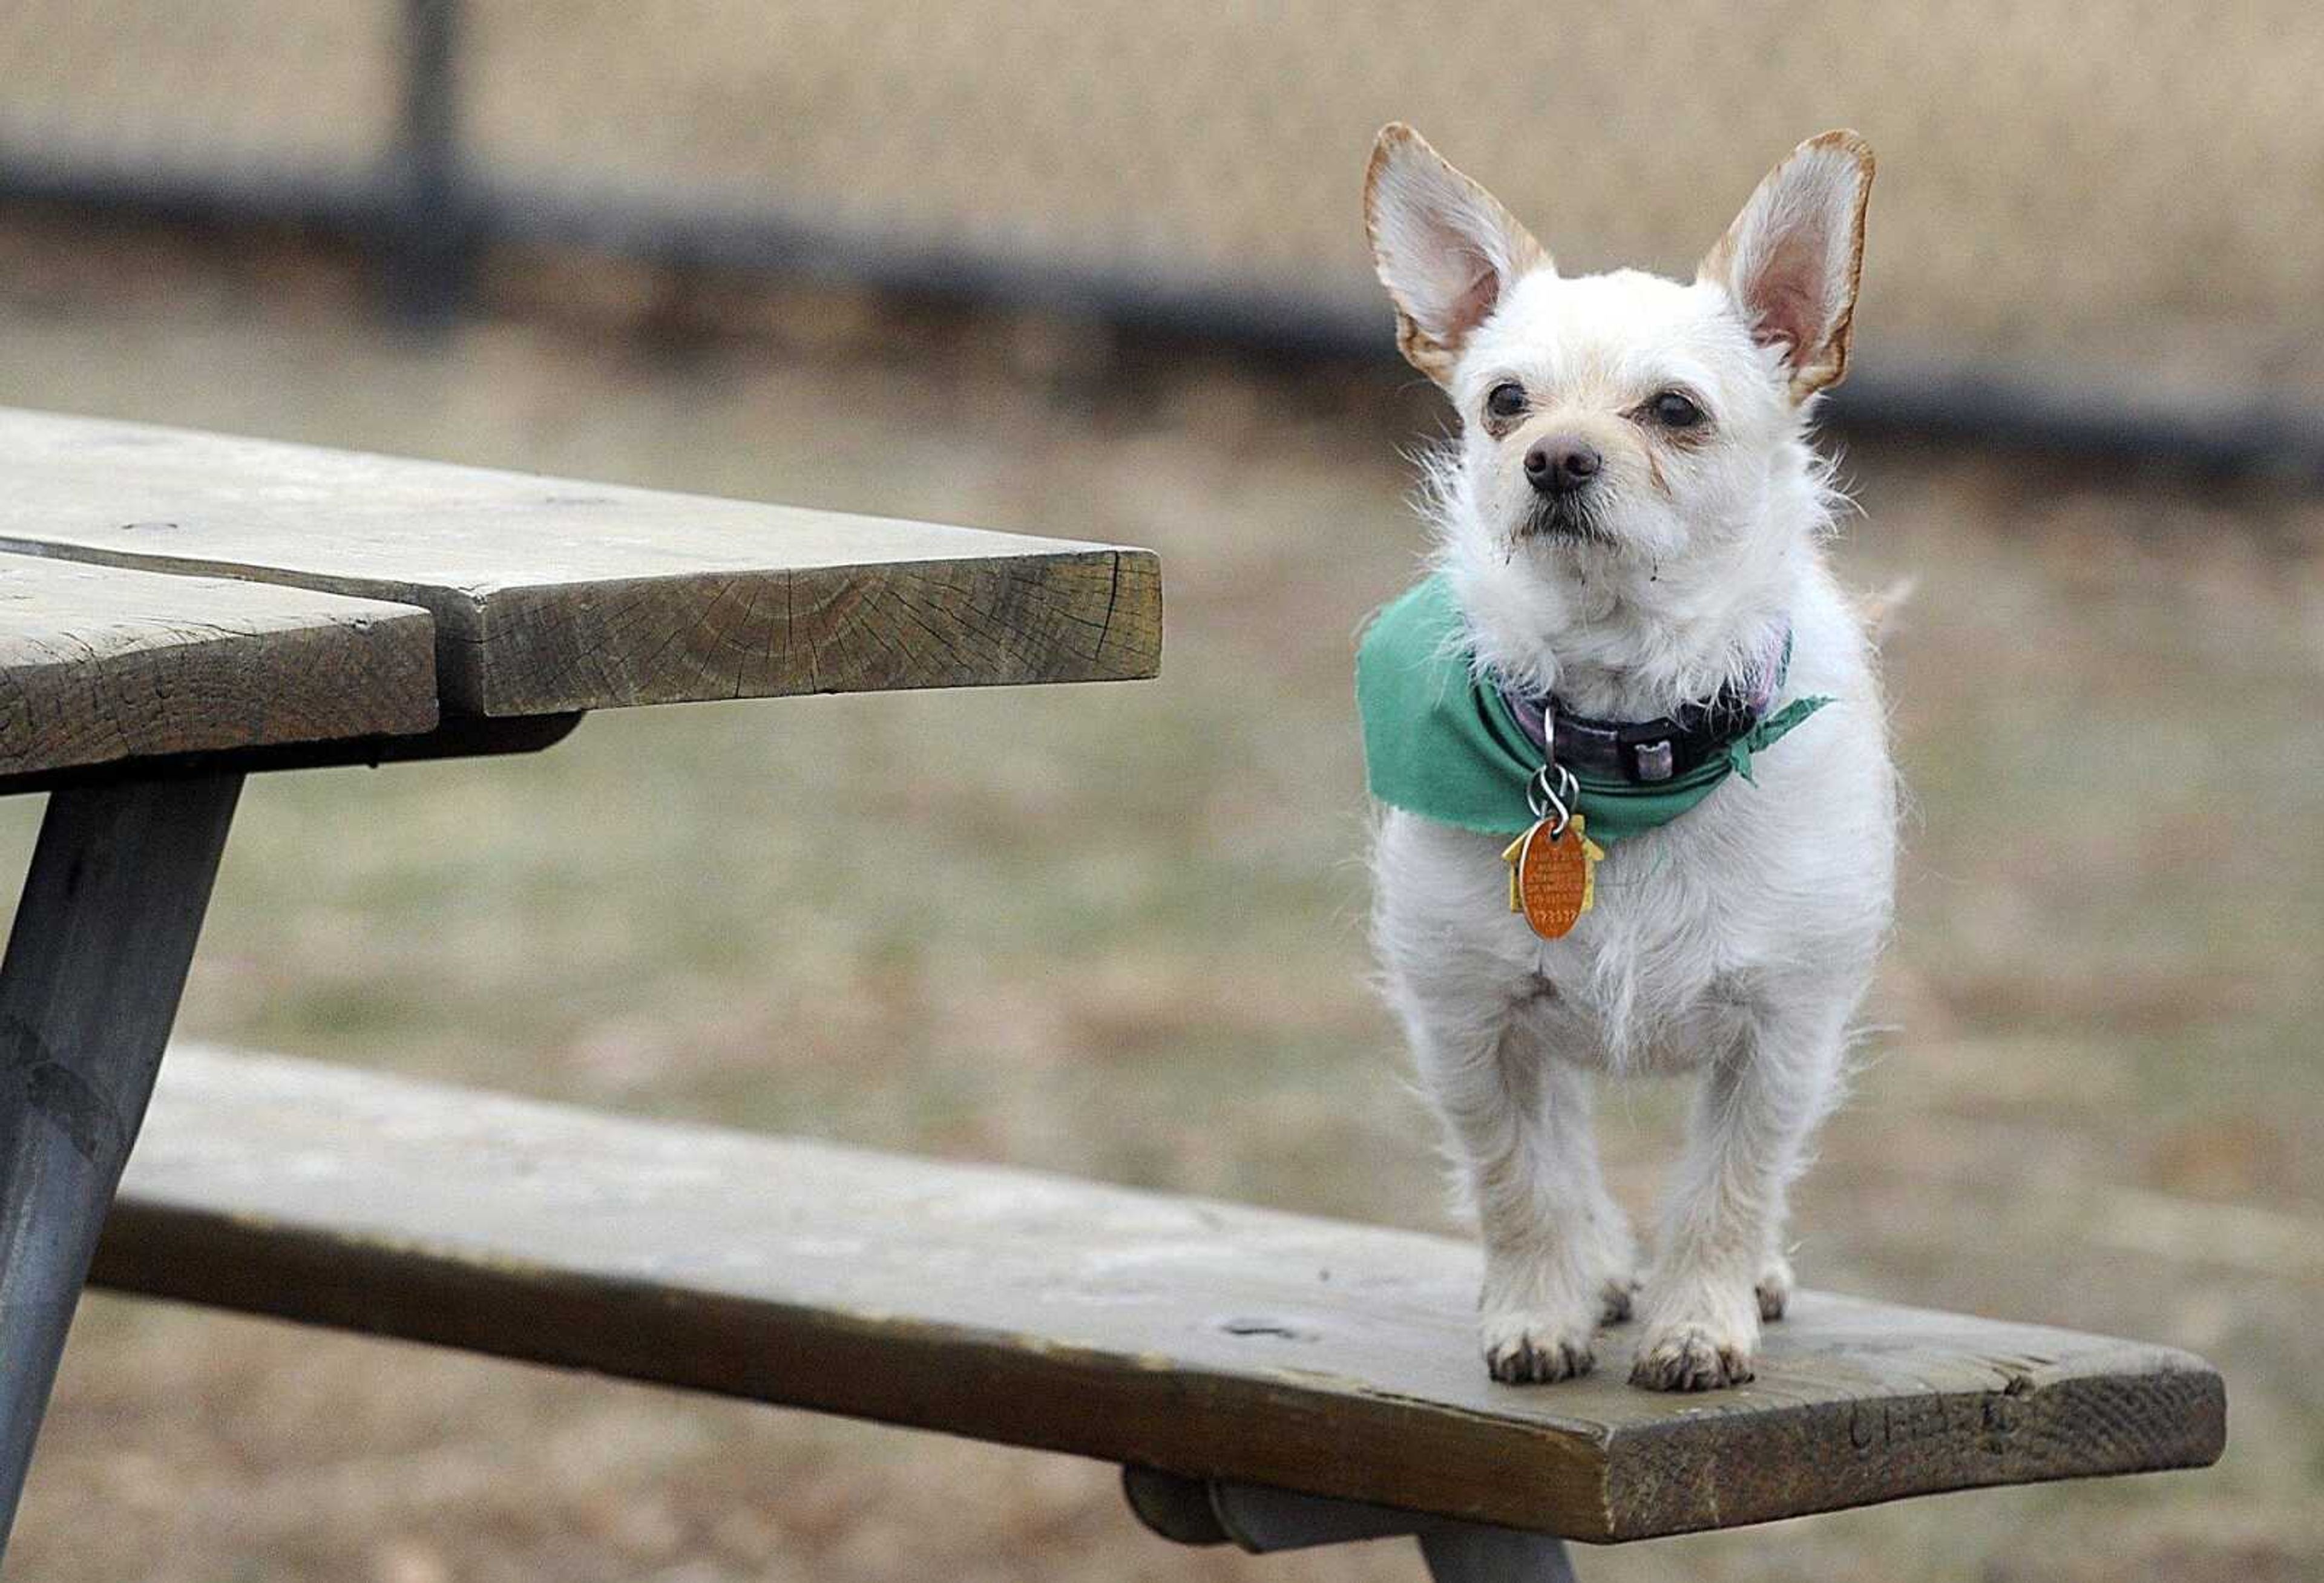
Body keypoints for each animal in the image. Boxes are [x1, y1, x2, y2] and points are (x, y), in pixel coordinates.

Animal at [1357, 126, 1887, 1385]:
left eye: (1675, 411)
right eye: (1504, 403)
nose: (1554, 459)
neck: (1619, 746)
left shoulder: (1782, 1036)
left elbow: (1727, 1190)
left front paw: (1700, 1321)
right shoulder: (1474, 1025)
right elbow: (1521, 1184)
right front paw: (1539, 1311)